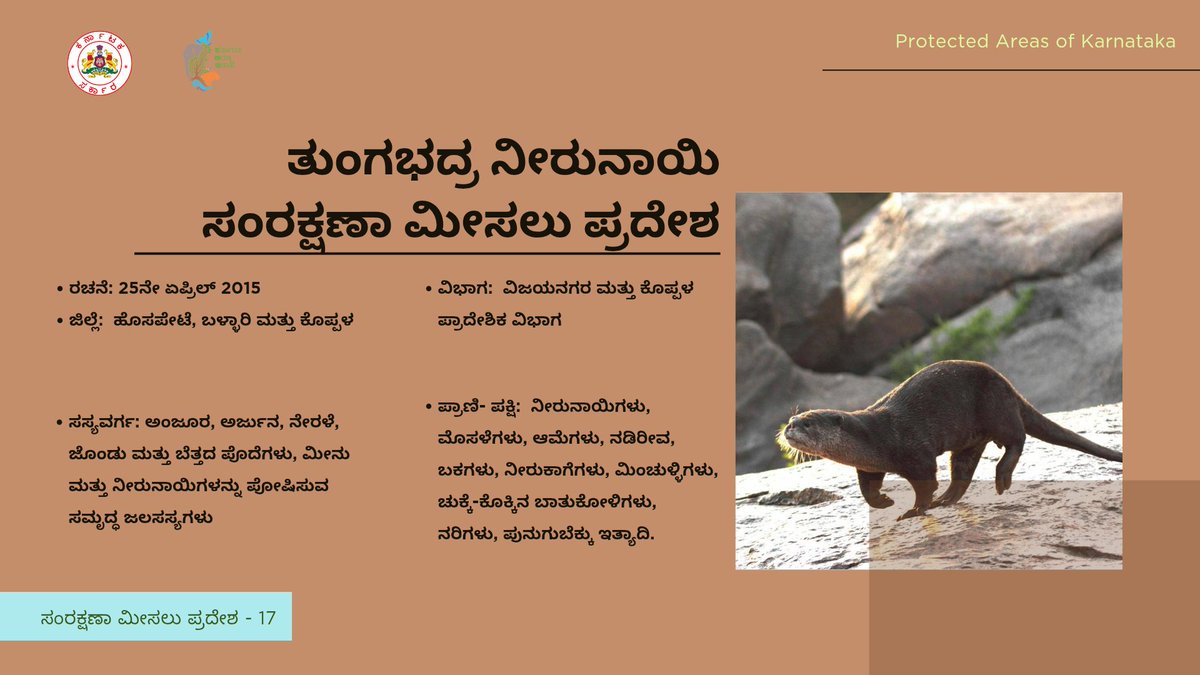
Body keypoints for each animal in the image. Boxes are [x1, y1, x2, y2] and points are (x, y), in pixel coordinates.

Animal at [778, 360, 1122, 520]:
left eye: (807, 423)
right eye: (792, 420)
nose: (788, 429)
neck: (876, 437)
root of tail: (1008, 385)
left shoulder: (914, 452)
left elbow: (925, 482)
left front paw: (914, 510)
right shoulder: (869, 466)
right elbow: (868, 488)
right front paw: (884, 501)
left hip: (995, 407)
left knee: (1017, 437)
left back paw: (1001, 477)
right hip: (971, 439)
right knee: (964, 470)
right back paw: (947, 499)